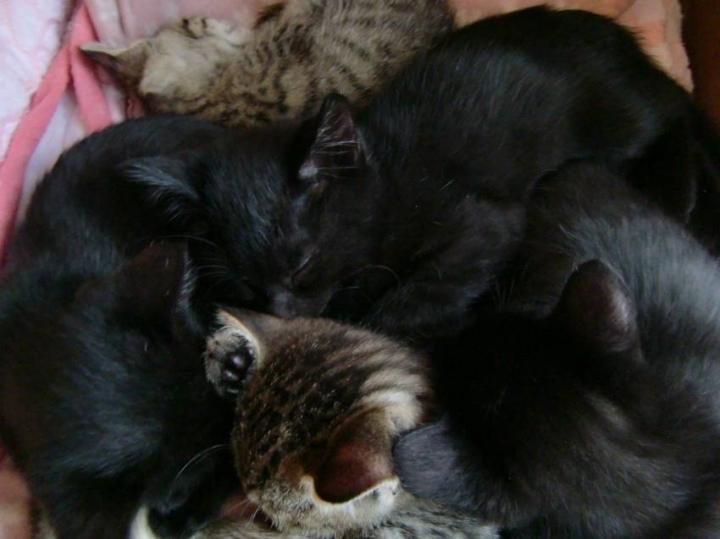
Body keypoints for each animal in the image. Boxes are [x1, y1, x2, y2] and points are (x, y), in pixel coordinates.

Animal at [126, 7, 715, 341]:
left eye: (303, 265)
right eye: (247, 284)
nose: (285, 311)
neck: (386, 186)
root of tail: (628, 48)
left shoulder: (482, 223)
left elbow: (413, 297)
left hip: (622, 123)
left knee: (676, 116)